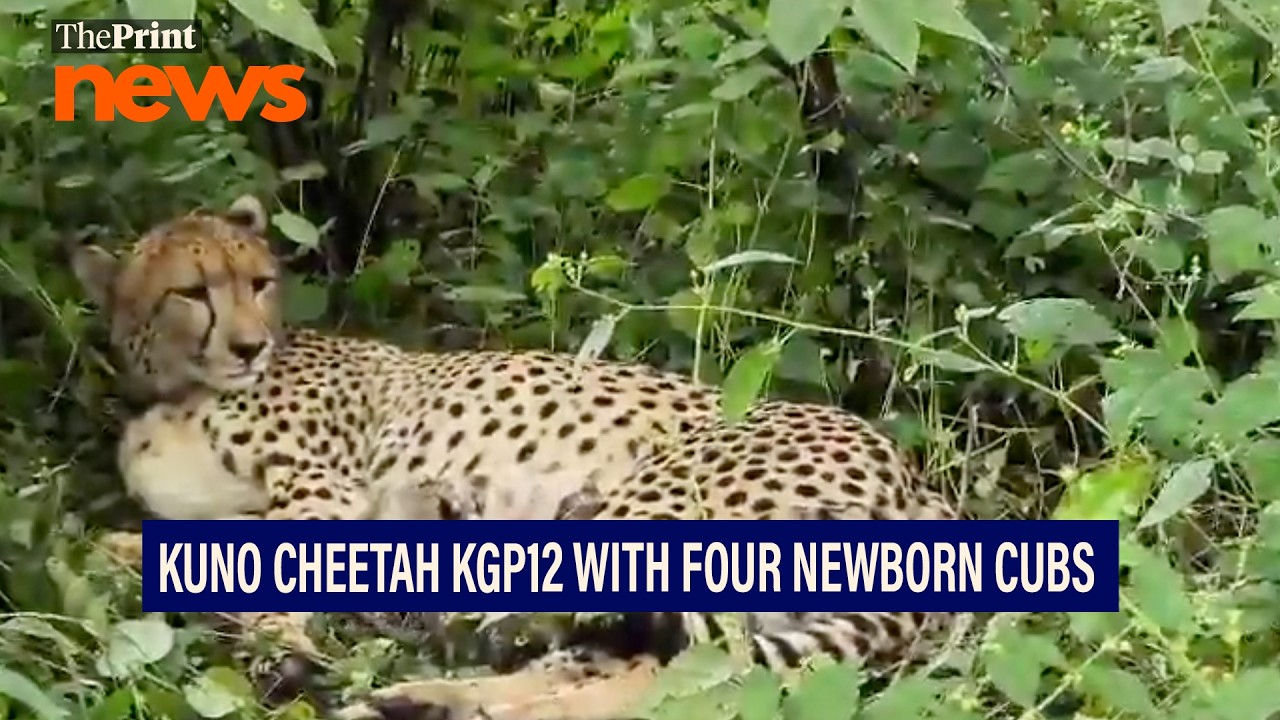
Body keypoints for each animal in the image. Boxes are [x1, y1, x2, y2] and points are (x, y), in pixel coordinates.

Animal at [72, 195, 964, 720]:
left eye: (257, 281)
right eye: (192, 292)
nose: (251, 346)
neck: (176, 389)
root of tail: (925, 484)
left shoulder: (325, 489)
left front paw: (278, 652)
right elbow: (157, 543)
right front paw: (118, 554)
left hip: (643, 510)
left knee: (674, 673)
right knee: (645, 667)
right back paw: (418, 701)